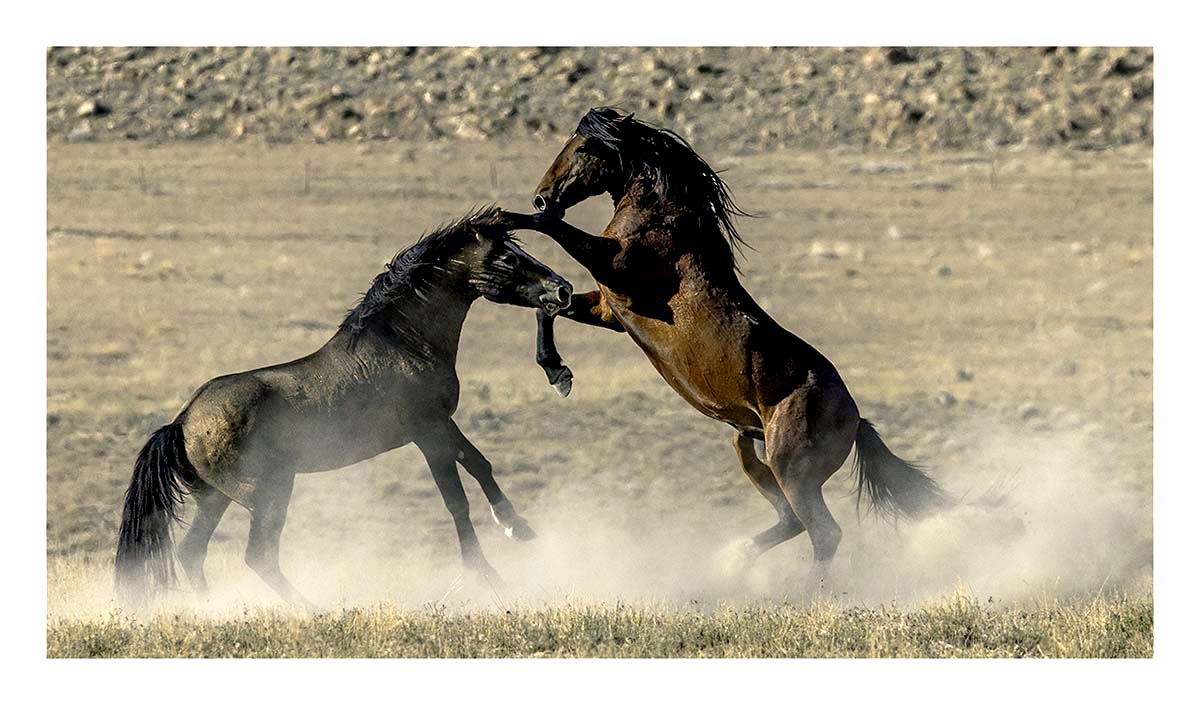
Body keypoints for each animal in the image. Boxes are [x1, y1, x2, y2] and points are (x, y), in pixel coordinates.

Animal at [115, 207, 573, 607]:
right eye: (506, 257)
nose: (562, 289)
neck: (404, 343)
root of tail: (180, 423)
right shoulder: (425, 432)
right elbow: (455, 500)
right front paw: (488, 574)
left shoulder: (443, 423)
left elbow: (480, 464)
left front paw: (517, 526)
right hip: (267, 492)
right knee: (258, 555)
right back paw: (311, 608)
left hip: (214, 498)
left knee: (193, 552)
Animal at [500, 107, 946, 587]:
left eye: (584, 147)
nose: (542, 197)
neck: (663, 216)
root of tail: (855, 418)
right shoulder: (608, 309)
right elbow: (549, 306)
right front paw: (557, 374)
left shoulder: (615, 269)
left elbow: (555, 233)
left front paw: (503, 218)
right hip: (749, 447)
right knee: (792, 520)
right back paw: (734, 559)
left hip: (793, 468)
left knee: (823, 532)